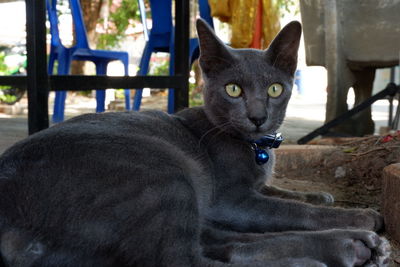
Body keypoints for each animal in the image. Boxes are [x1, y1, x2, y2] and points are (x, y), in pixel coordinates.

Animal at [0, 19, 390, 267]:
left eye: (275, 89)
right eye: (233, 89)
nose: (258, 116)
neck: (256, 148)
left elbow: (284, 194)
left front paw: (318, 195)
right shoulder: (229, 199)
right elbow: (290, 209)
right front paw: (360, 215)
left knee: (222, 244)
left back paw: (351, 246)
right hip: (161, 173)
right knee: (181, 259)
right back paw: (318, 257)